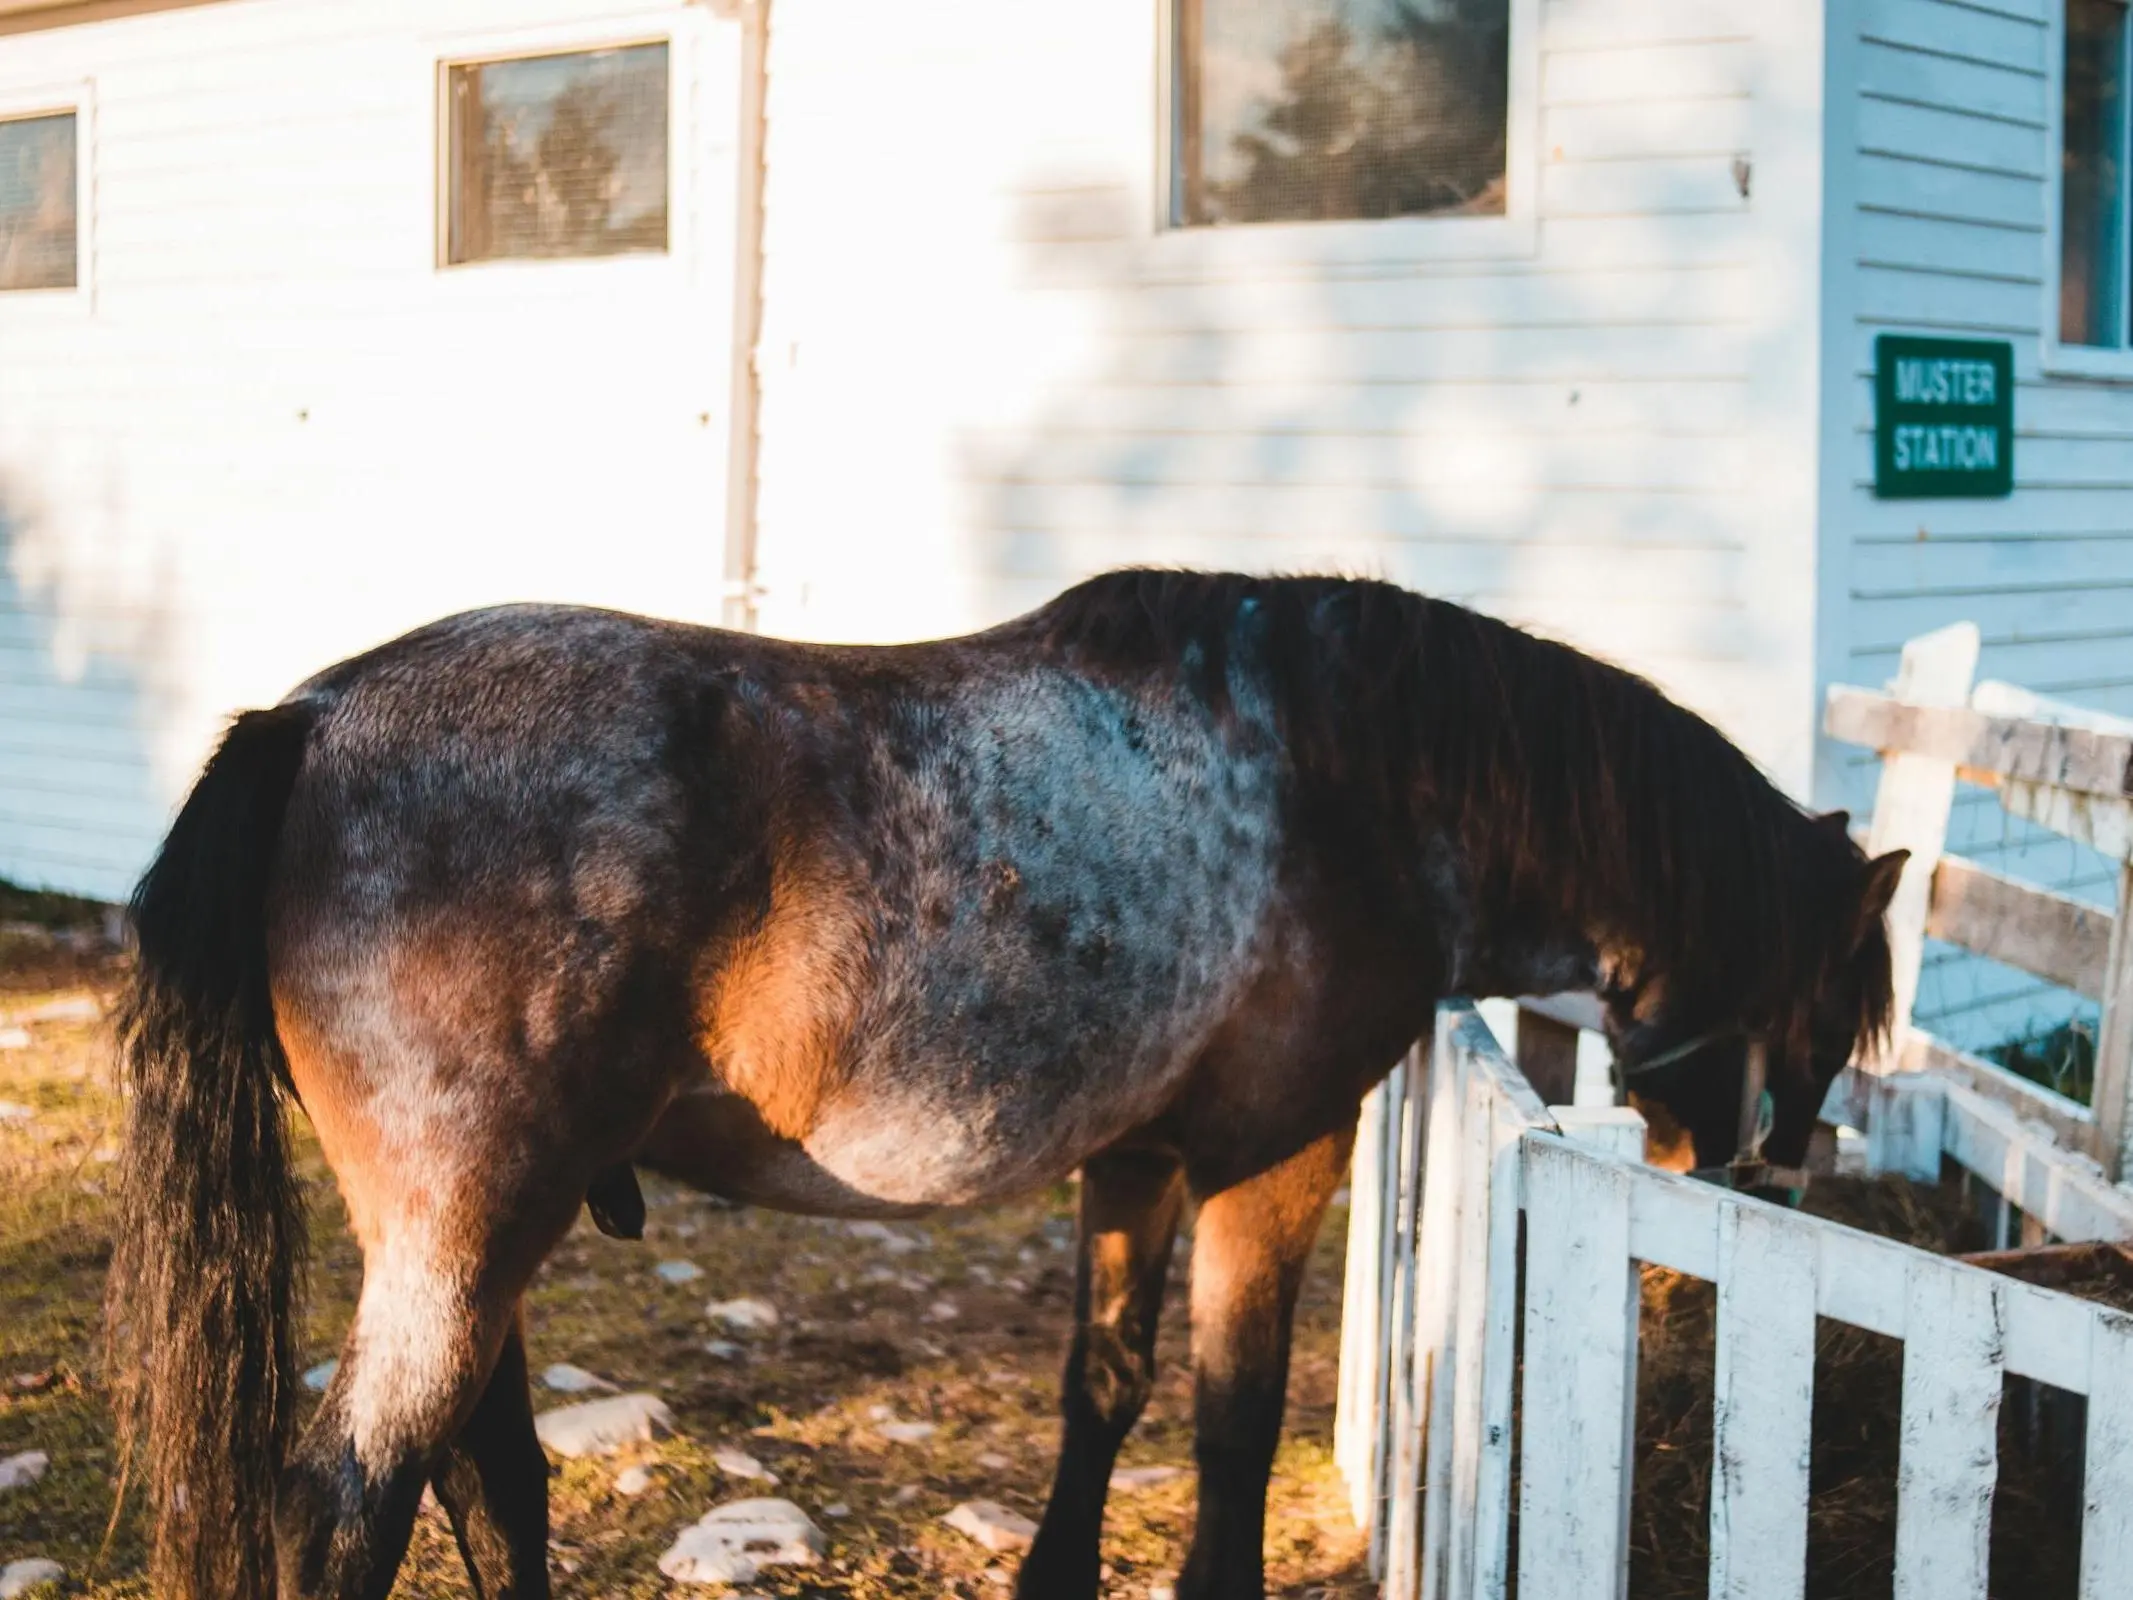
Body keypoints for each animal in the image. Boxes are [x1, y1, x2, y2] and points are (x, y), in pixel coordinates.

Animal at [103, 571, 1902, 1600]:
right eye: (1828, 1011)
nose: (1772, 1178)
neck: (1357, 785)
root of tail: (314, 716)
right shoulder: (1271, 1156)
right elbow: (1231, 1418)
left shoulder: (1137, 1162)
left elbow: (1101, 1387)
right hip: (464, 1238)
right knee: (351, 1507)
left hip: (473, 1245)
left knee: (493, 1489)